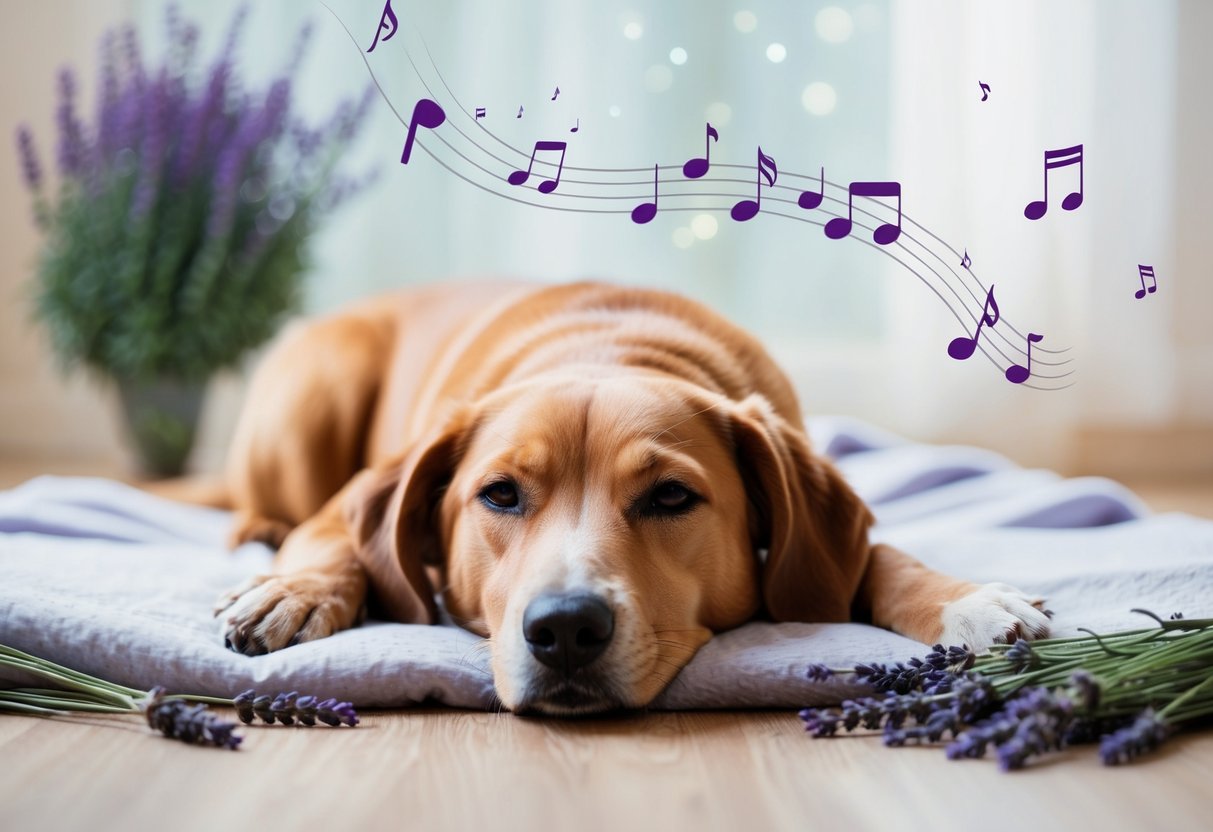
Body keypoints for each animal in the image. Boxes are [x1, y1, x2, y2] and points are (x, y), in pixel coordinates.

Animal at [213, 283, 1048, 713]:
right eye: (499, 494)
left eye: (671, 497)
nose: (564, 629)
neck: (606, 351)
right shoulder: (342, 507)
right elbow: (336, 544)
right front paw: (293, 590)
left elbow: (877, 559)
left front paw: (970, 603)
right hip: (315, 391)